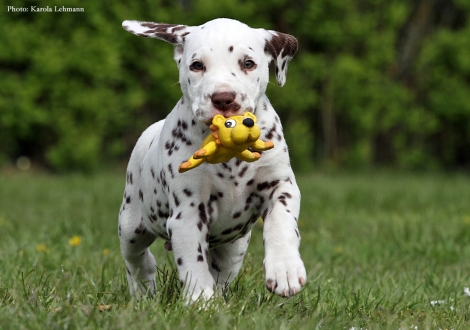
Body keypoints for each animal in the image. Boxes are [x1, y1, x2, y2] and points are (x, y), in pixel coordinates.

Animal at [119, 17, 306, 302]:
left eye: (248, 63)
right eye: (197, 65)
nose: (223, 98)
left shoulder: (281, 186)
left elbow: (281, 223)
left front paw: (285, 269)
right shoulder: (187, 212)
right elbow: (193, 264)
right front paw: (200, 302)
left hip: (234, 247)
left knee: (222, 272)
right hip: (131, 225)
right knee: (137, 260)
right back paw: (143, 293)